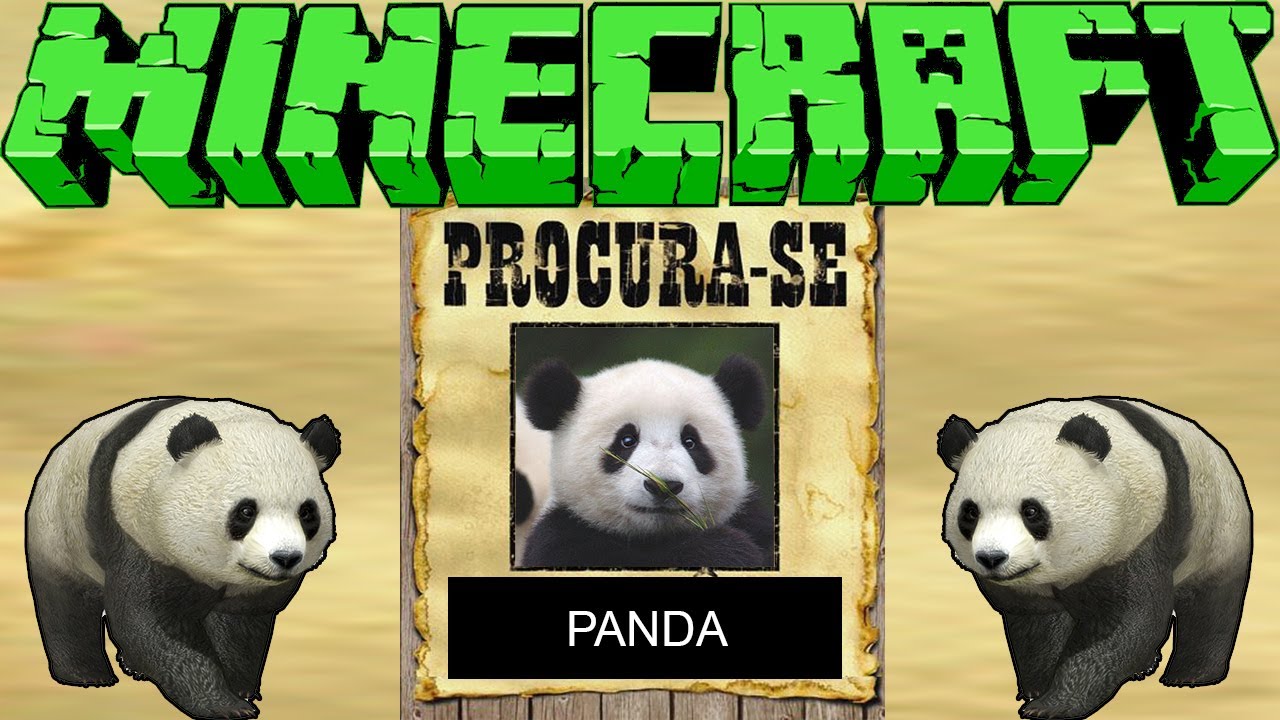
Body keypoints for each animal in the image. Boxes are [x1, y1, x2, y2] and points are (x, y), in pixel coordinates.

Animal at [25, 397, 341, 720]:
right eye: (246, 511)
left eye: (307, 512)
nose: (285, 557)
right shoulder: (139, 535)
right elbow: (153, 625)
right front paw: (225, 704)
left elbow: (239, 627)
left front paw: (239, 687)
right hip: (61, 529)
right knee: (67, 603)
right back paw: (88, 676)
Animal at [519, 354, 774, 569]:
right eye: (627, 440)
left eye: (690, 442)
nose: (664, 486)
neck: (654, 538)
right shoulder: (563, 536)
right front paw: (724, 549)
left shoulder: (750, 519)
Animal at [937, 397, 1252, 720]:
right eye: (970, 512)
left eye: (1031, 511)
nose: (992, 558)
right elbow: (1037, 627)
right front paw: (1038, 688)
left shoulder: (1138, 535)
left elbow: (1125, 623)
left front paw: (1052, 704)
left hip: (1216, 530)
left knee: (1210, 603)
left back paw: (1189, 676)